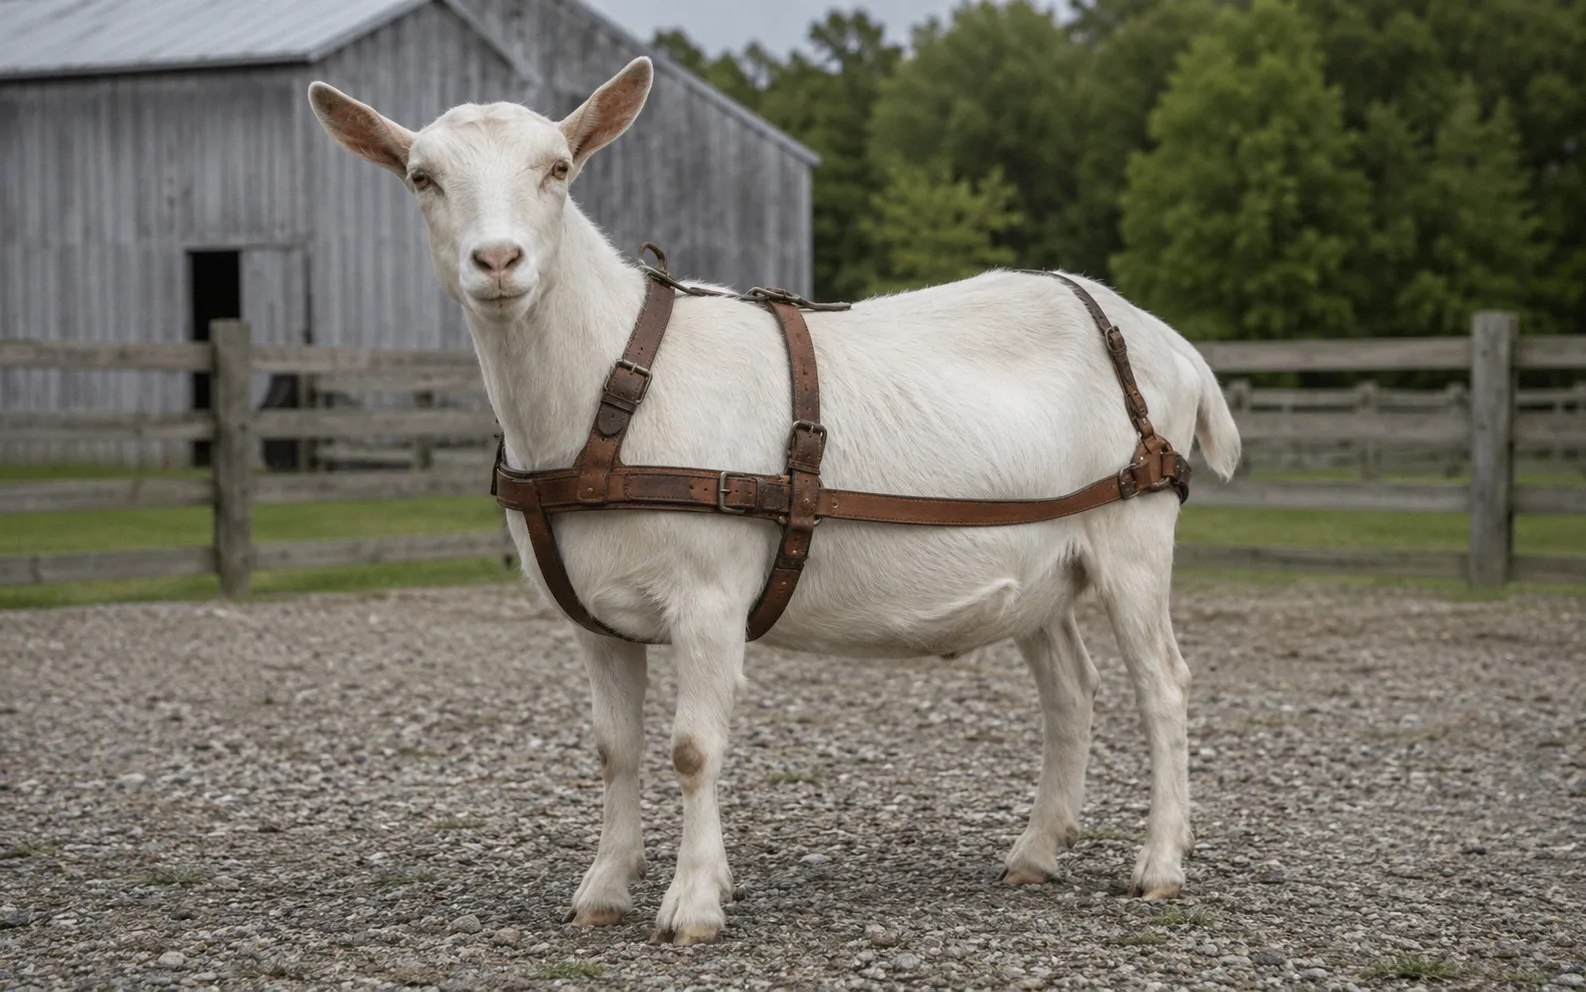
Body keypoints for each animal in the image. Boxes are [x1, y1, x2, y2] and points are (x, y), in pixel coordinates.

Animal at [308, 57, 1241, 946]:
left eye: (559, 167)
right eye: (421, 177)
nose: (499, 263)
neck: (613, 386)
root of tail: (1163, 340)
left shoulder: (710, 593)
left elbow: (691, 749)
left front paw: (691, 906)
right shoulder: (593, 617)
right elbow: (614, 749)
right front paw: (603, 892)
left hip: (1132, 531)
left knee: (1163, 684)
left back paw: (1160, 863)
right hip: (1044, 557)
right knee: (1071, 689)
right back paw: (1037, 851)